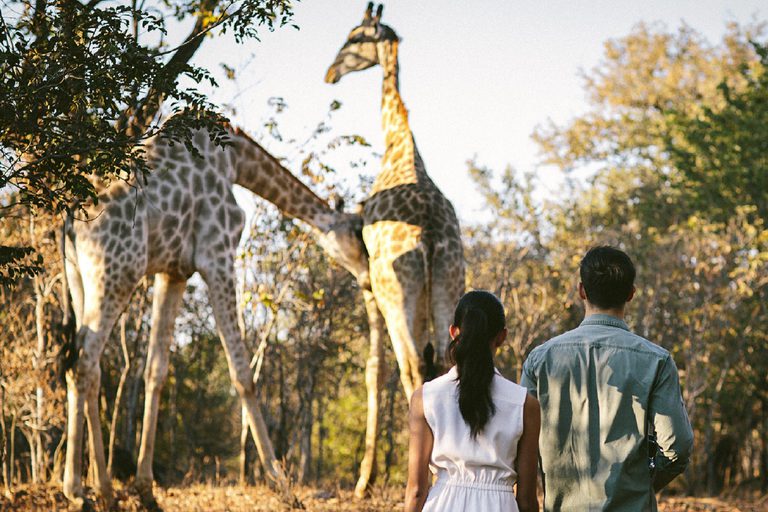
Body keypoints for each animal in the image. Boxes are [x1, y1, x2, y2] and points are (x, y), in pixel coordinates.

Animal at [61, 125, 370, 508]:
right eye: (357, 233)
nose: (369, 275)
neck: (235, 160)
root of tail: (70, 223)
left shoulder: (173, 272)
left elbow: (156, 371)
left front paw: (146, 488)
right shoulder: (218, 254)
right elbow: (243, 374)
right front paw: (283, 485)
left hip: (80, 279)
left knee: (91, 368)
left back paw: (101, 487)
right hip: (117, 273)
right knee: (82, 364)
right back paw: (79, 490)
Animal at [325, 2, 466, 496]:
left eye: (354, 37)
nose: (330, 73)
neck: (400, 146)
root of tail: (426, 238)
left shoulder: (376, 284)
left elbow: (381, 367)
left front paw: (364, 480)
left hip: (397, 295)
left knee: (410, 369)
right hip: (447, 285)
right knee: (444, 360)